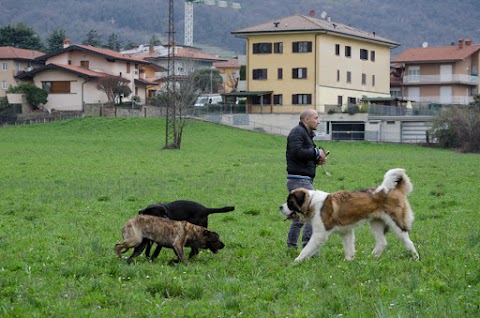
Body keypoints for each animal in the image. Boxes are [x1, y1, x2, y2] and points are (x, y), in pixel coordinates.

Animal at [280, 168, 418, 262]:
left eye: (290, 203)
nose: (280, 207)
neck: (311, 203)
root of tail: (394, 189)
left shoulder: (320, 234)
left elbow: (307, 248)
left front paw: (296, 261)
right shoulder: (346, 231)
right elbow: (349, 247)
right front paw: (349, 261)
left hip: (397, 224)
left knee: (408, 242)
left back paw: (415, 258)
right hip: (376, 223)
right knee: (382, 242)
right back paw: (372, 258)